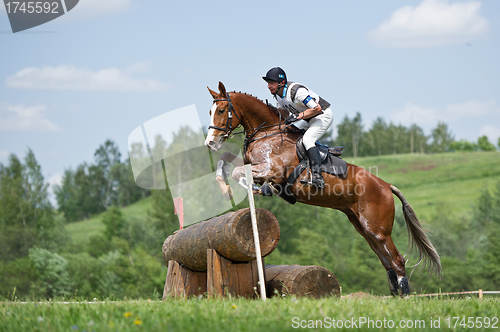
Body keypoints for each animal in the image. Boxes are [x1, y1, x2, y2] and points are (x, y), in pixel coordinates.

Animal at [203, 81, 442, 294]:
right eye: (210, 111)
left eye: (222, 110)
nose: (210, 143)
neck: (266, 132)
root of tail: (386, 186)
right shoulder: (252, 164)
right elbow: (226, 162)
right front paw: (226, 190)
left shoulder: (273, 170)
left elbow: (239, 173)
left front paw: (260, 189)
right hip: (364, 227)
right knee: (387, 262)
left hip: (378, 229)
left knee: (397, 261)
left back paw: (404, 298)